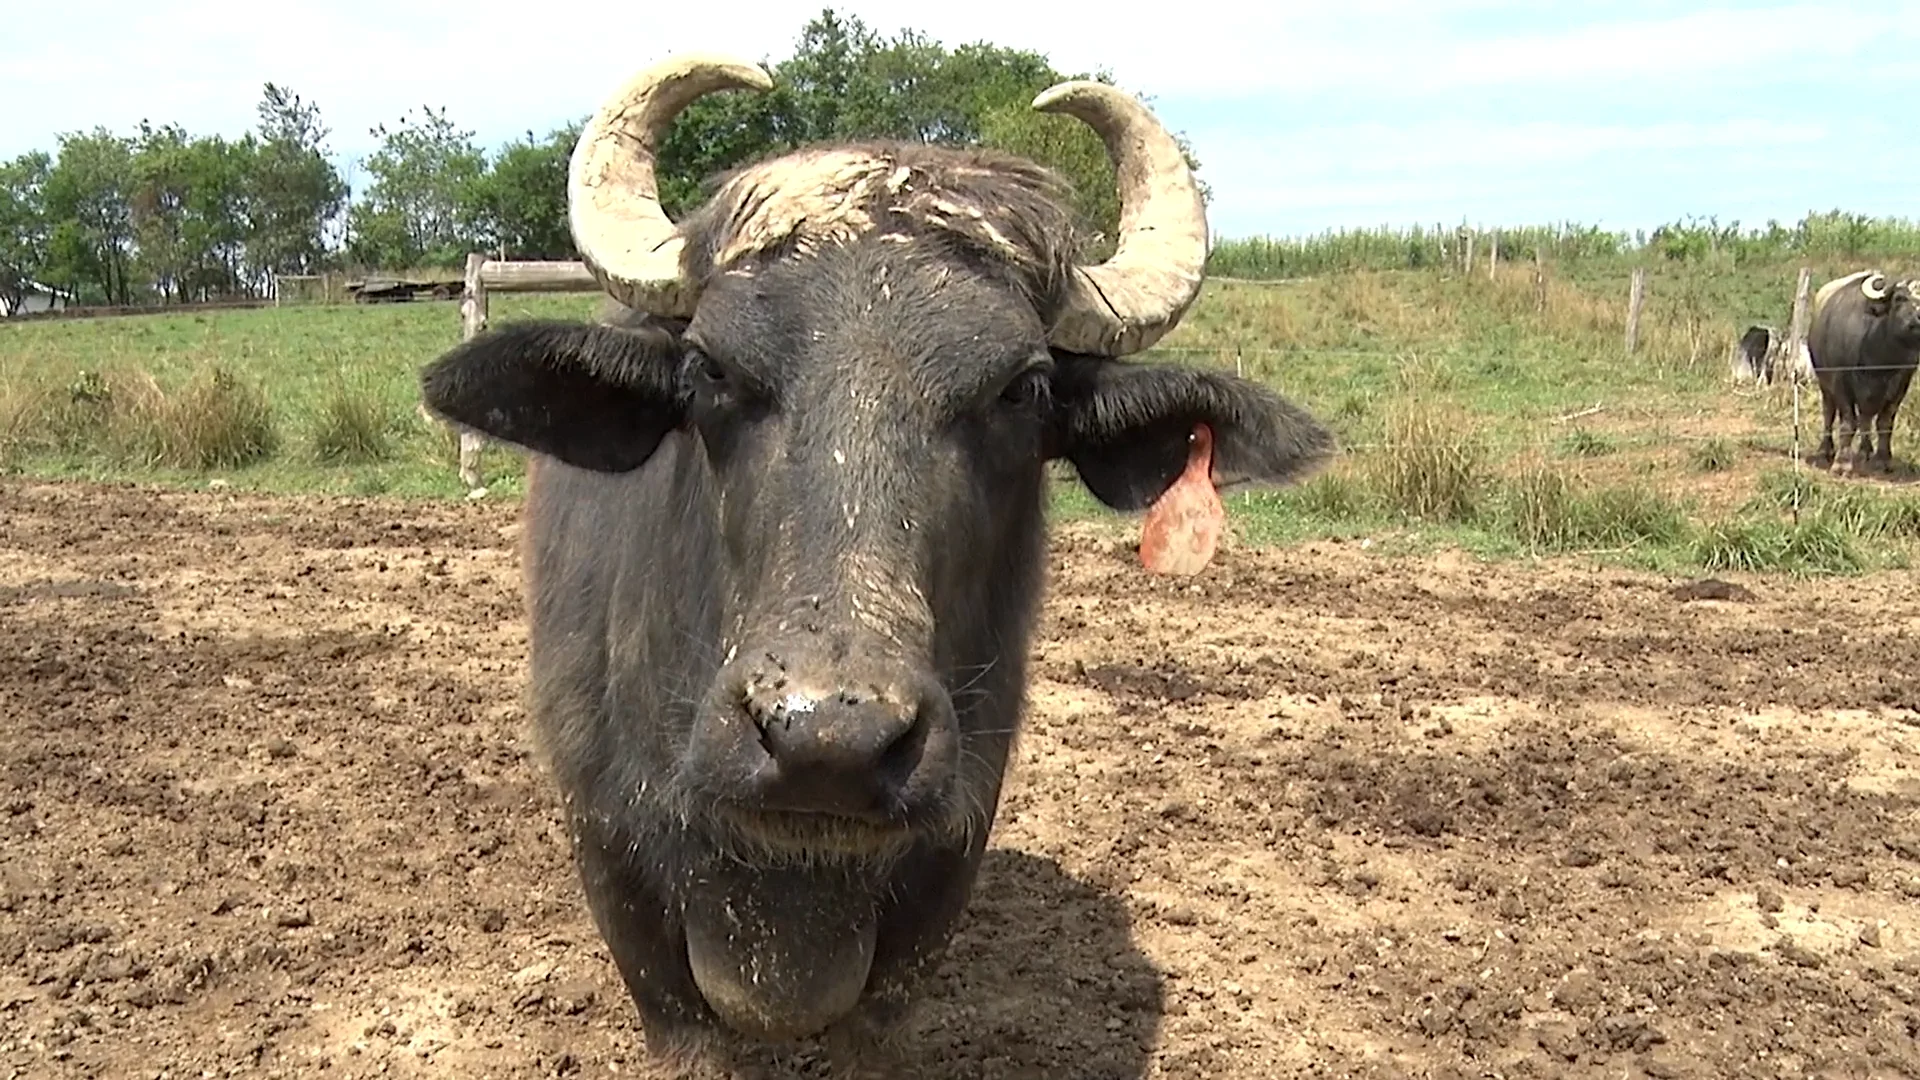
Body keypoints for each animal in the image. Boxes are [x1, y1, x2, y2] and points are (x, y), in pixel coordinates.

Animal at [1804, 265, 1920, 470]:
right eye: (1899, 298)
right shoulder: (1840, 383)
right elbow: (1848, 423)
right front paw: (1842, 463)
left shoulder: (1900, 386)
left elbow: (1884, 423)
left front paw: (1882, 459)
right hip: (1824, 383)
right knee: (1828, 412)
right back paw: (1825, 451)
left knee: (1866, 419)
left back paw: (1865, 451)